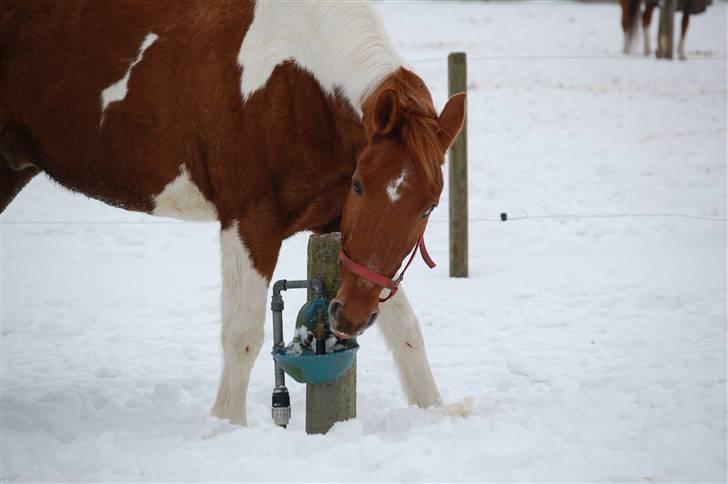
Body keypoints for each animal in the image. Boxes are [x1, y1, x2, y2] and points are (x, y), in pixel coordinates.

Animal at [1, 0, 466, 424]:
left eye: (428, 206)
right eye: (360, 185)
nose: (348, 316)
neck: (296, 84)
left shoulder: (350, 243)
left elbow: (405, 330)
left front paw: (436, 410)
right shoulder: (250, 223)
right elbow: (242, 335)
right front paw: (227, 425)